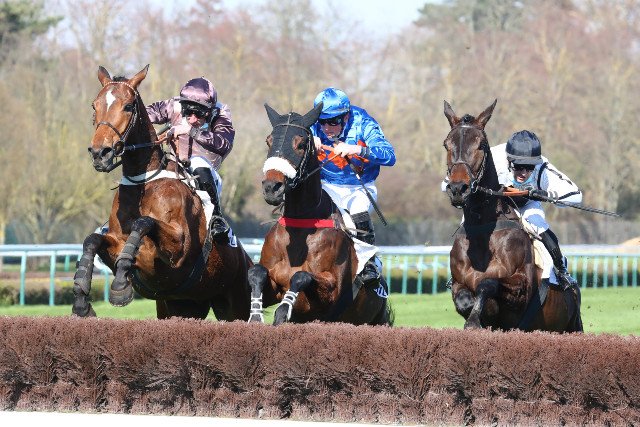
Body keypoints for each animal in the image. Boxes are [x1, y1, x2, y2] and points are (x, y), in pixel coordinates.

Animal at [72, 64, 252, 320]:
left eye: (128, 106)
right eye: (94, 105)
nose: (100, 153)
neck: (145, 182)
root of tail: (248, 259)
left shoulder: (177, 249)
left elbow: (144, 223)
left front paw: (120, 285)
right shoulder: (115, 242)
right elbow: (92, 240)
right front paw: (81, 298)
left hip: (235, 304)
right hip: (181, 306)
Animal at [246, 103, 392, 326]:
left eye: (301, 143)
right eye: (268, 140)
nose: (272, 187)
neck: (300, 227)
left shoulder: (331, 292)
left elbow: (301, 276)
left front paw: (284, 310)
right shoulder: (272, 281)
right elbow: (257, 272)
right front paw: (255, 314)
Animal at [441, 99, 582, 332]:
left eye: (481, 145)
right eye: (447, 144)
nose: (458, 189)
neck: (482, 231)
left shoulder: (521, 285)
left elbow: (487, 283)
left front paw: (474, 320)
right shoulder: (458, 284)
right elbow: (464, 300)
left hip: (573, 325)